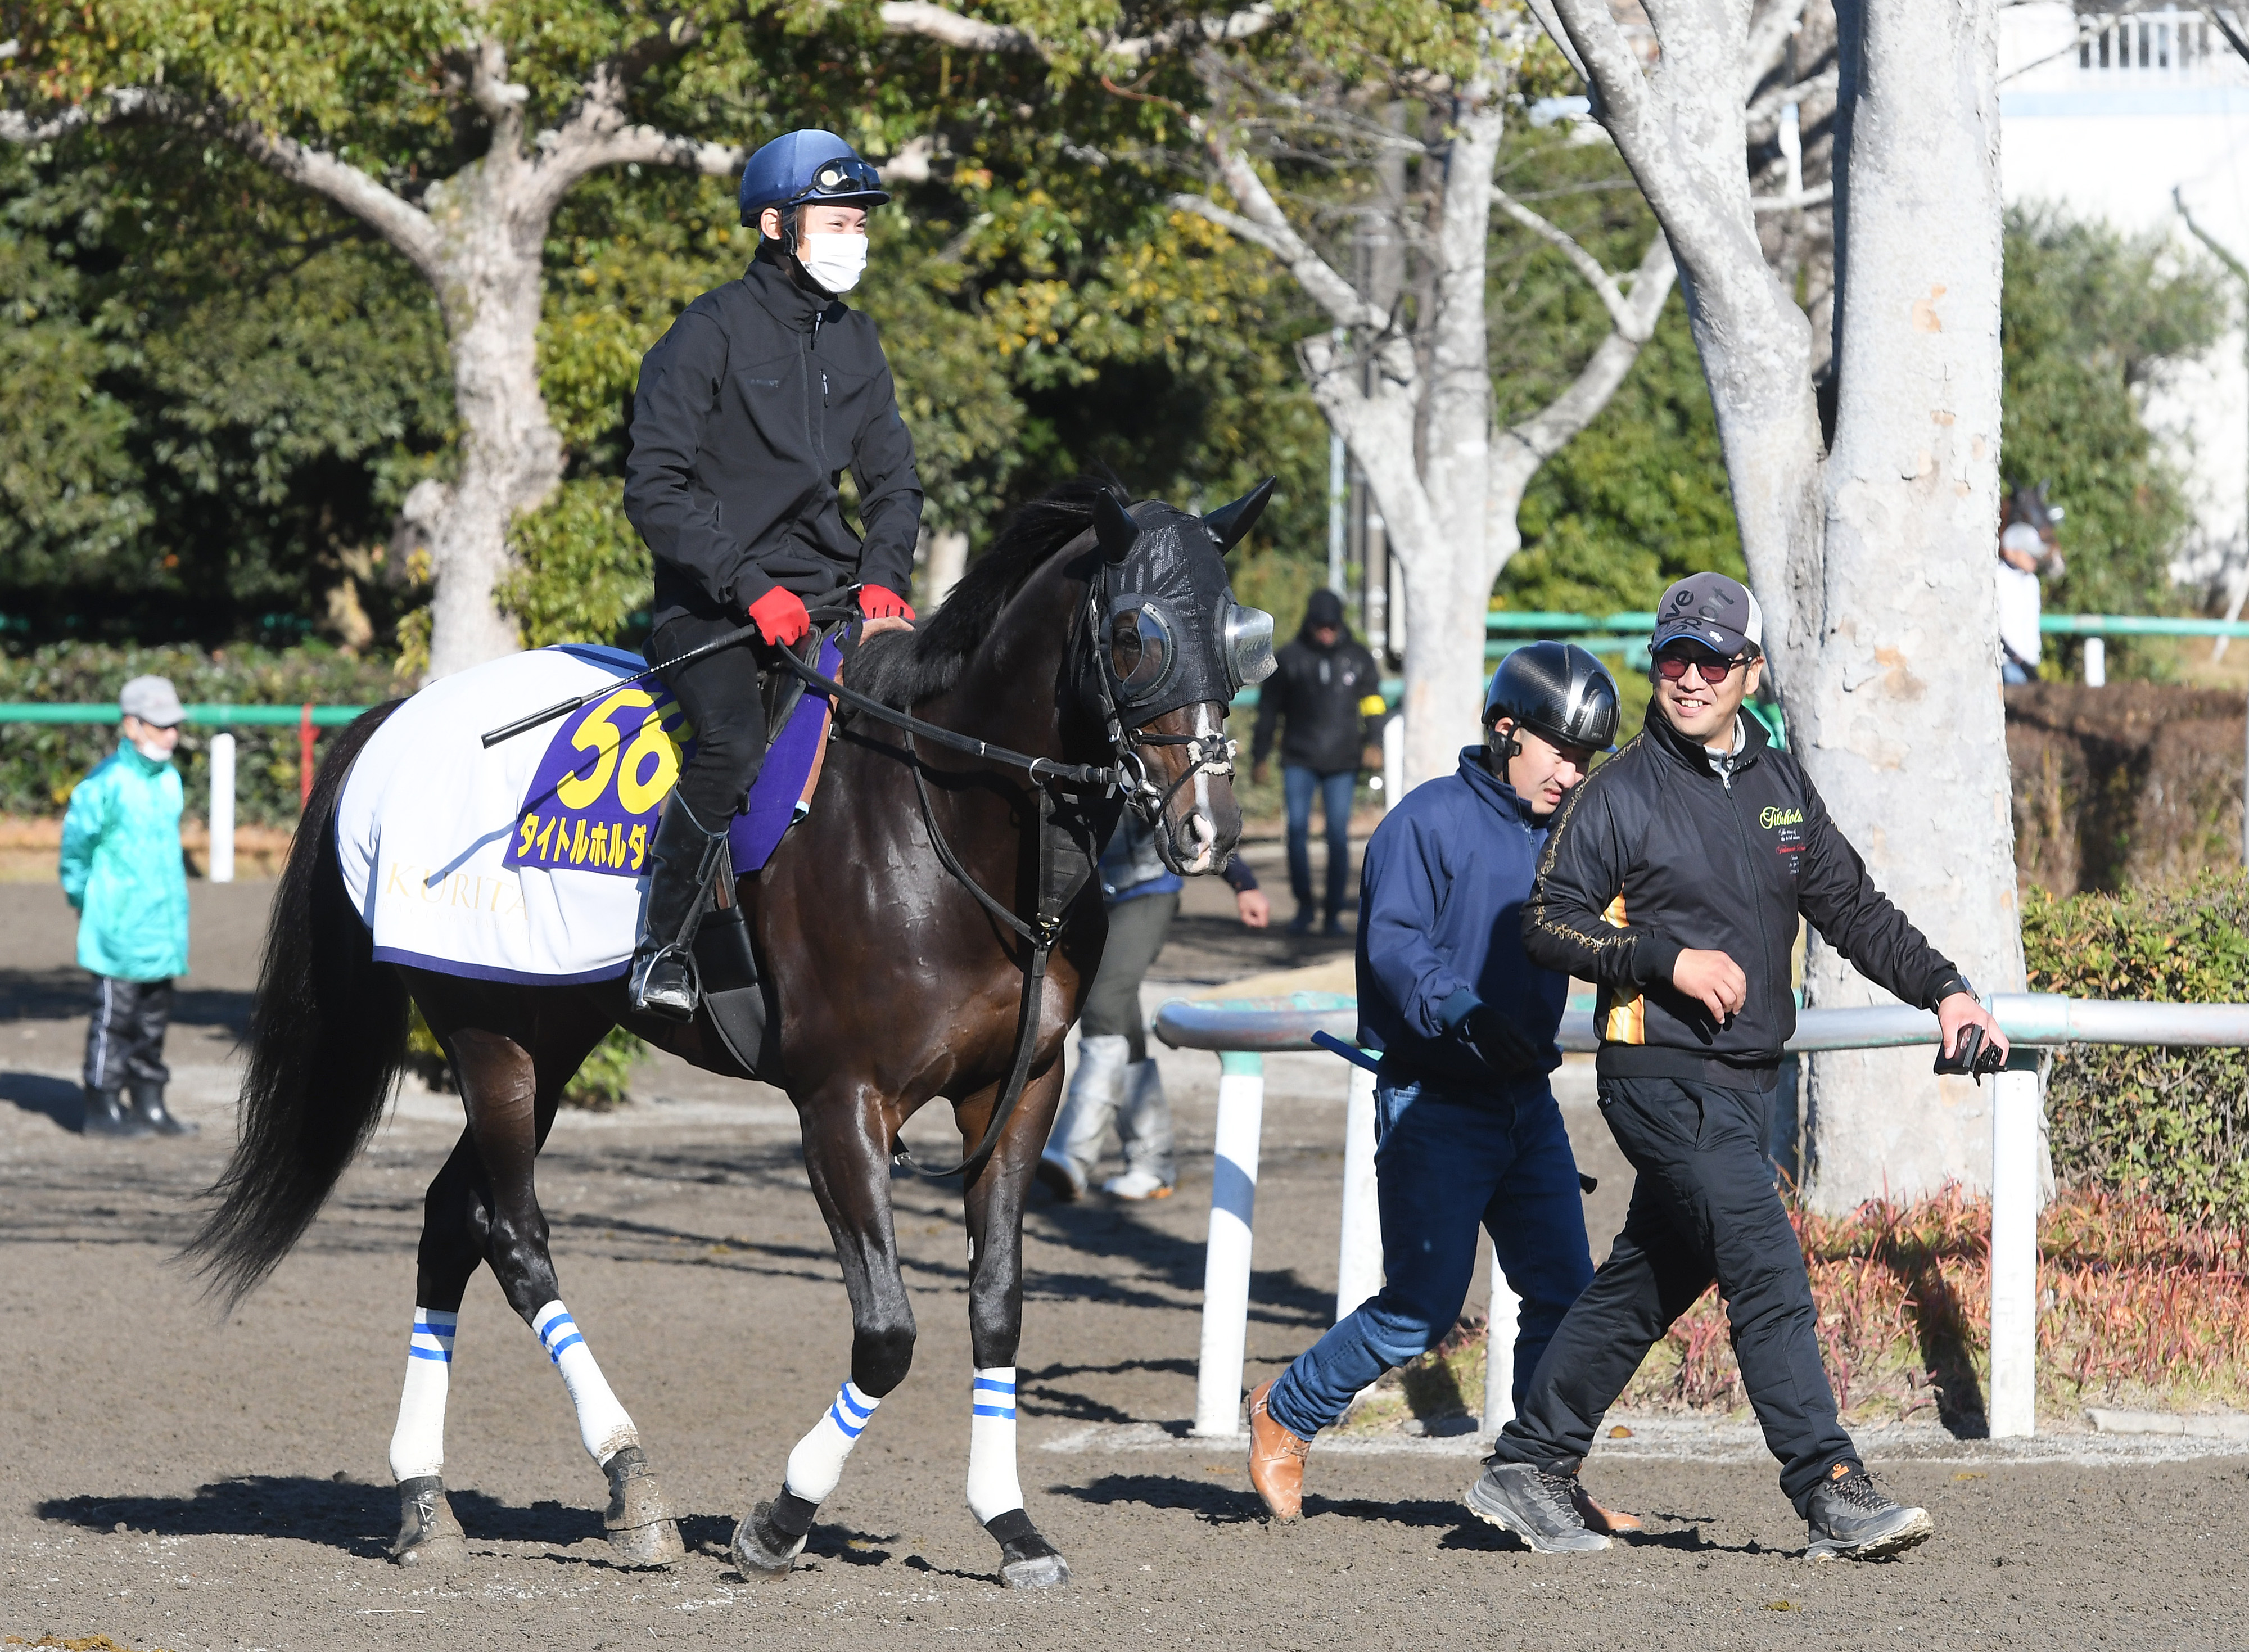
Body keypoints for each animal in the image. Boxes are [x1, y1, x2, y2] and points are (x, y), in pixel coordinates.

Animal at [180, 479, 1268, 1593]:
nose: (1210, 827)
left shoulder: (1016, 1094)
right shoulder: (841, 1104)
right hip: (490, 1039)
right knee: (513, 1236)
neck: (945, 824)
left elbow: (997, 1306)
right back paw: (631, 1486)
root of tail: (402, 719)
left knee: (452, 1222)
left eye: (1243, 634)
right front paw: (780, 1519)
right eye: (1134, 635)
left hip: (551, 1036)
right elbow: (887, 1333)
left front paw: (1011, 1524)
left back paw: (424, 1500)